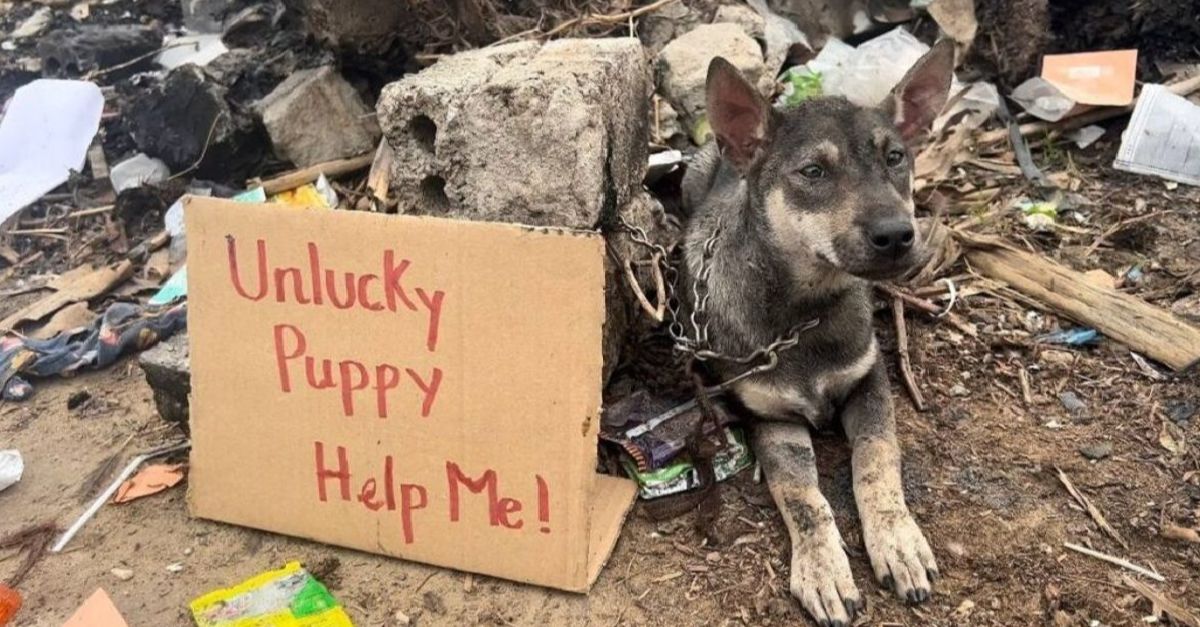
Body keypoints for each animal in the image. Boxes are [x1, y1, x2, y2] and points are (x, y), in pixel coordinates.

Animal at [686, 41, 955, 619]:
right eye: (812, 171)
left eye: (895, 158)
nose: (897, 236)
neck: (804, 314)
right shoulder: (770, 418)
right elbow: (802, 497)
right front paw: (823, 568)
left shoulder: (870, 381)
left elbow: (877, 461)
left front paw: (897, 540)